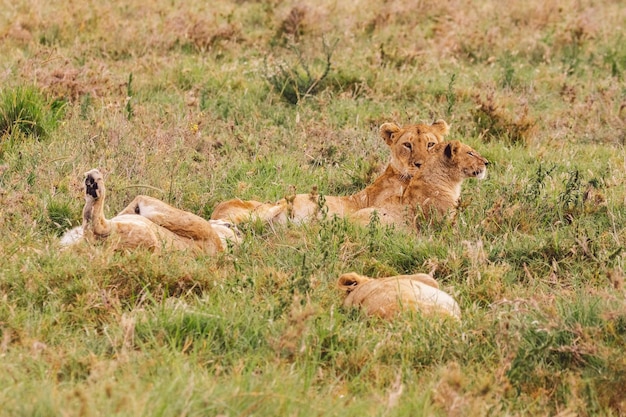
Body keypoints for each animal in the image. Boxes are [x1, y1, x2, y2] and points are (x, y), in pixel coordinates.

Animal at [60, 168, 239, 254]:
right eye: (231, 226)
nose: (233, 226)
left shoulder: (203, 229)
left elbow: (143, 199)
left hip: (140, 235)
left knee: (96, 225)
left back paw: (94, 184)